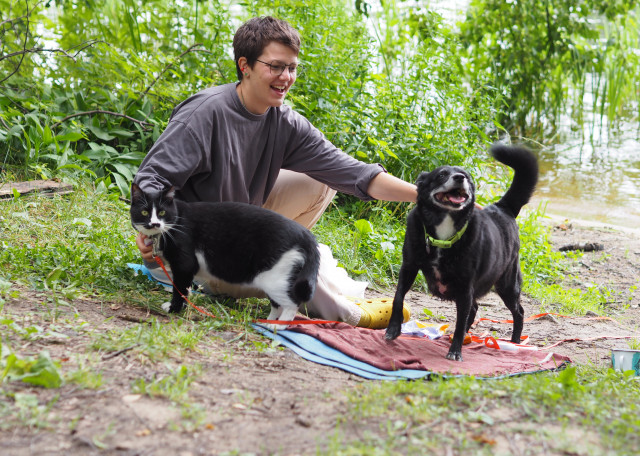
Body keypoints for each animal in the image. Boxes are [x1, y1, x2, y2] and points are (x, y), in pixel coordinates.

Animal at [130, 184, 320, 329]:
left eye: (162, 213)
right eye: (145, 212)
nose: (154, 223)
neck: (174, 223)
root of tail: (306, 235)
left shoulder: (184, 265)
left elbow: (180, 290)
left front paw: (174, 308)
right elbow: (186, 289)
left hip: (275, 278)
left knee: (292, 303)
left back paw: (278, 327)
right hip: (277, 280)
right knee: (277, 303)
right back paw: (267, 322)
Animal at [385, 144, 539, 361]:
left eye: (467, 176)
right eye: (441, 174)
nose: (459, 177)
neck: (443, 232)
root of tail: (503, 207)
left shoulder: (465, 285)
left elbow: (459, 321)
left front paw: (455, 351)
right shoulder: (409, 267)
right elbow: (398, 298)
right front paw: (393, 329)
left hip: (507, 284)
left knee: (519, 312)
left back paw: (515, 341)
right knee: (475, 309)